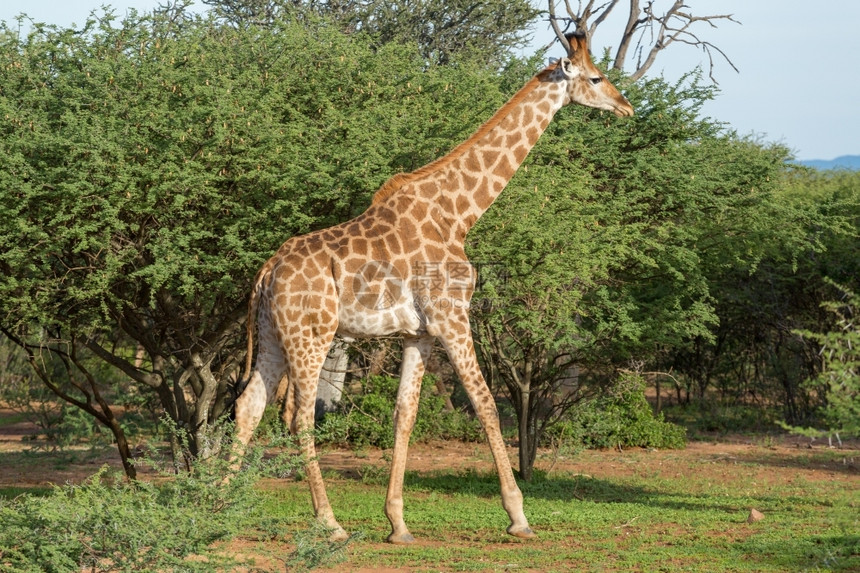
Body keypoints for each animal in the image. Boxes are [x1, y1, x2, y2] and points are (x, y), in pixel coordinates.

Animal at [232, 30, 636, 540]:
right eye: (596, 78)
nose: (627, 107)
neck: (460, 214)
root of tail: (266, 272)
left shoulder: (417, 333)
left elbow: (405, 414)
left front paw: (397, 523)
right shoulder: (452, 316)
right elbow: (485, 403)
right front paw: (518, 516)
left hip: (273, 334)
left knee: (249, 406)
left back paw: (214, 502)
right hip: (312, 335)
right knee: (300, 415)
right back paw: (329, 522)